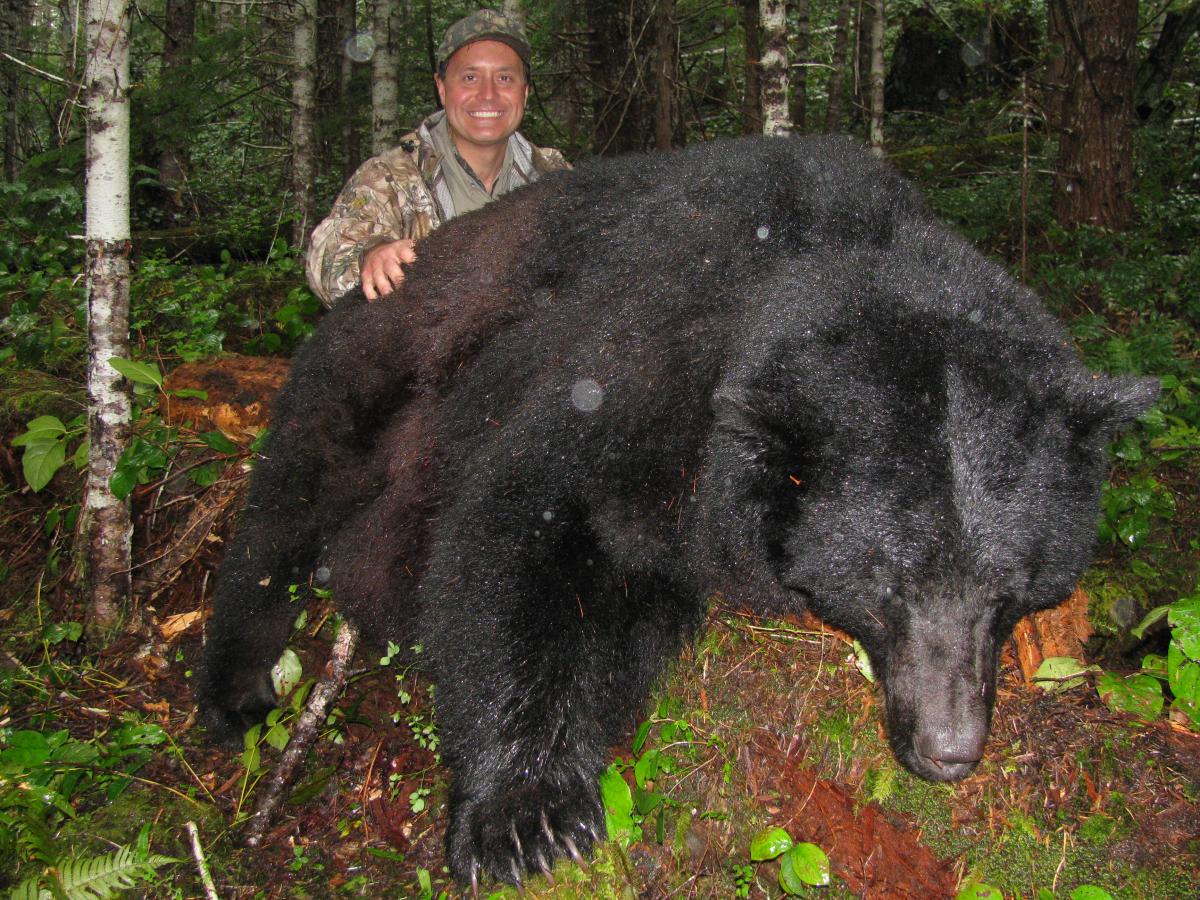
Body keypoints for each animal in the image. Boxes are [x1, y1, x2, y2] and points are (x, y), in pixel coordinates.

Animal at [199, 135, 1158, 888]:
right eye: (889, 585)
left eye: (1010, 590)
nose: (949, 749)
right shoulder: (647, 360)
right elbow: (519, 523)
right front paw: (526, 815)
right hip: (379, 362)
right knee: (290, 498)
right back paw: (239, 685)